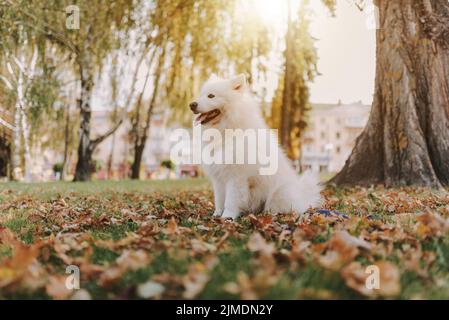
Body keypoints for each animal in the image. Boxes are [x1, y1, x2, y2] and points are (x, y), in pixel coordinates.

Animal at [189, 75, 322, 220]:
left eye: (211, 96)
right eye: (201, 95)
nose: (191, 104)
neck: (226, 130)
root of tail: (303, 199)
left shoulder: (236, 177)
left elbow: (231, 200)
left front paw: (227, 217)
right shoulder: (219, 177)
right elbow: (219, 199)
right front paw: (217, 214)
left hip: (279, 193)